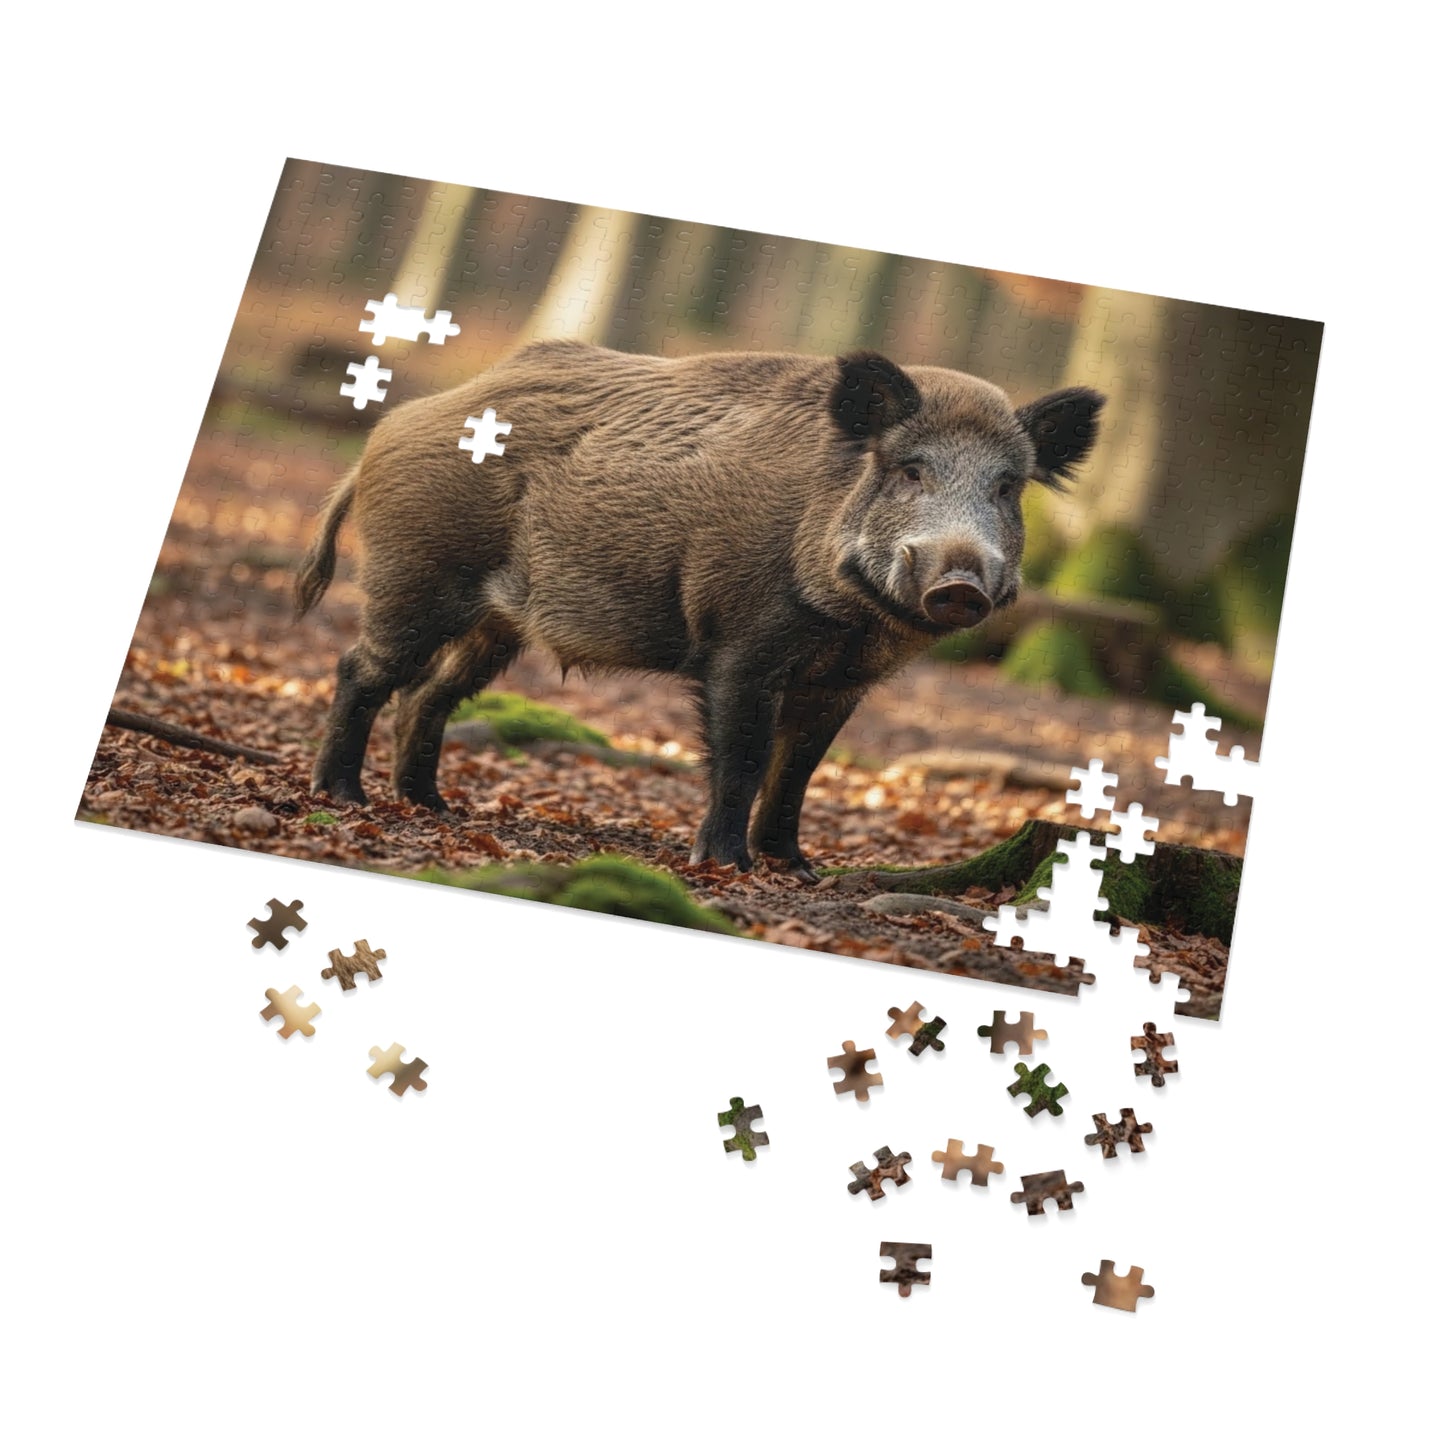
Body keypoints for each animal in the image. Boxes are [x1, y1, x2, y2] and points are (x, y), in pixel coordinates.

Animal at [295, 341, 1102, 875]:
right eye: (909, 471)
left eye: (1006, 486)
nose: (958, 583)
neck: (850, 622)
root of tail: (385, 430)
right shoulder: (740, 644)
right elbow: (742, 756)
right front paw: (727, 866)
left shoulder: (841, 682)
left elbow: (798, 769)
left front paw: (796, 868)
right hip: (415, 576)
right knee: (361, 668)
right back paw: (343, 795)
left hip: (495, 625)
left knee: (428, 693)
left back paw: (432, 807)